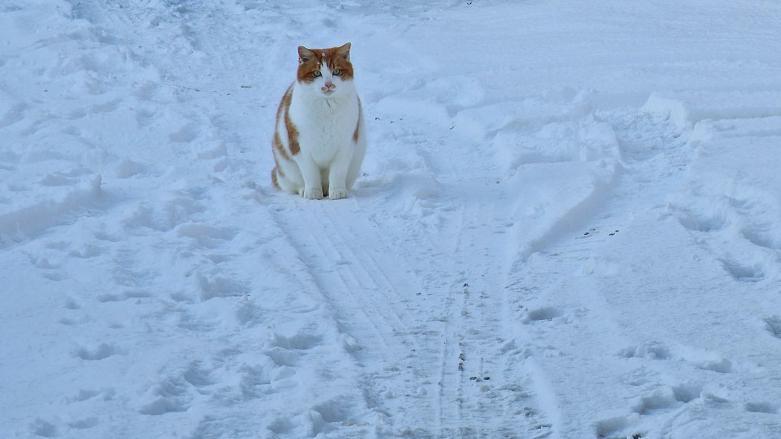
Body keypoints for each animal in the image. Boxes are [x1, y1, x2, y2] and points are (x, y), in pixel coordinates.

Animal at [268, 42, 366, 200]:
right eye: (316, 73)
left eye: (336, 71)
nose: (328, 84)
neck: (326, 107)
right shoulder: (299, 146)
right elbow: (310, 173)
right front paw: (313, 192)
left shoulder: (346, 144)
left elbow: (338, 171)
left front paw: (337, 191)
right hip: (285, 167)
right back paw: (304, 189)